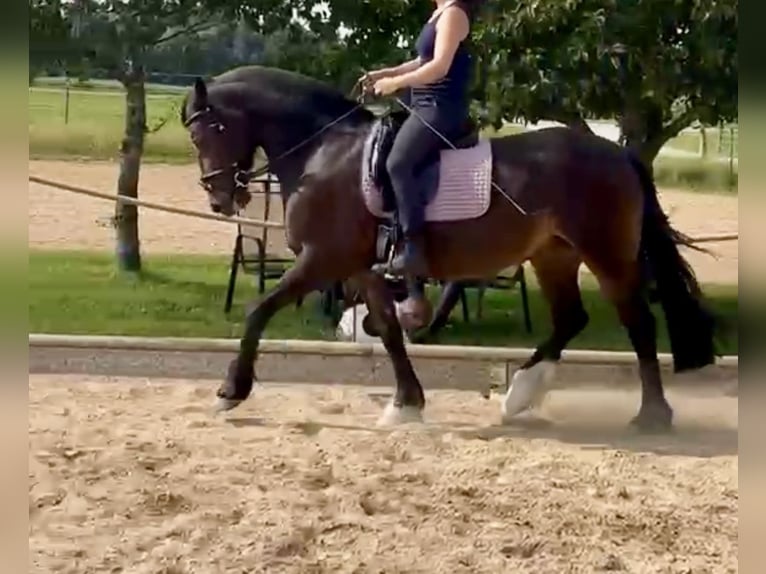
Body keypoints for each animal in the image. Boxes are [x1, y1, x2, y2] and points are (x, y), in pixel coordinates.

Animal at [181, 64, 720, 431]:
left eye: (209, 130)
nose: (219, 197)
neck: (325, 152)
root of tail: (617, 153)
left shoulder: (321, 258)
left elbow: (258, 309)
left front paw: (231, 391)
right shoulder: (362, 269)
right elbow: (389, 332)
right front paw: (406, 404)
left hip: (606, 255)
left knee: (638, 322)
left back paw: (652, 415)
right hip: (553, 255)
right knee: (572, 318)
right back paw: (519, 396)